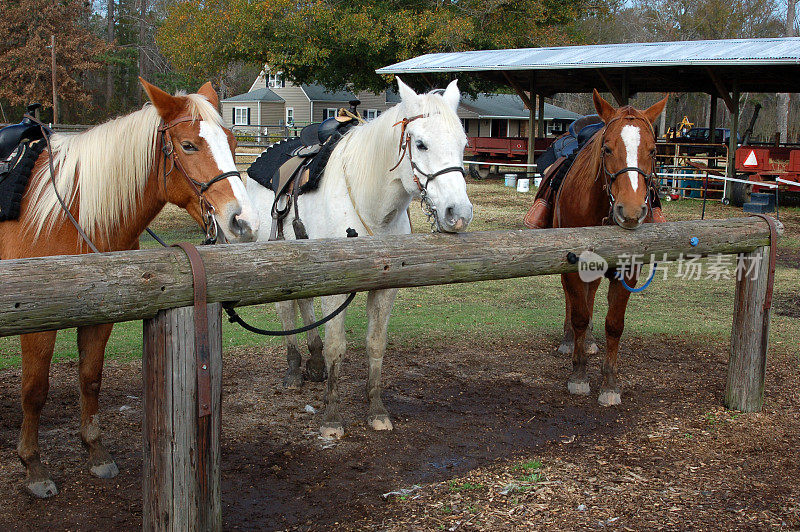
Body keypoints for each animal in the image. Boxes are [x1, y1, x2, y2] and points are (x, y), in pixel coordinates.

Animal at [0, 79, 260, 498]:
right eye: (189, 145)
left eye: (233, 143)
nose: (245, 222)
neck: (73, 211)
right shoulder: (36, 322)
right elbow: (34, 391)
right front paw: (34, 467)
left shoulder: (102, 315)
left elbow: (90, 379)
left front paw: (95, 452)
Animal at [248, 77, 476, 438]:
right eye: (421, 144)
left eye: (463, 144)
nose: (459, 214)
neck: (373, 206)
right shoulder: (334, 289)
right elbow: (336, 346)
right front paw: (331, 418)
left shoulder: (385, 288)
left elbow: (376, 344)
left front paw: (377, 410)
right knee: (286, 309)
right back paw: (294, 370)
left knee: (303, 303)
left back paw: (313, 364)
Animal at [552, 90, 664, 408]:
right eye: (607, 149)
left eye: (653, 151)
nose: (632, 211)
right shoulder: (572, 267)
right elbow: (578, 316)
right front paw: (578, 375)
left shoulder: (628, 270)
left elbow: (614, 324)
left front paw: (610, 384)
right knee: (574, 302)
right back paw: (571, 341)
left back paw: (589, 342)